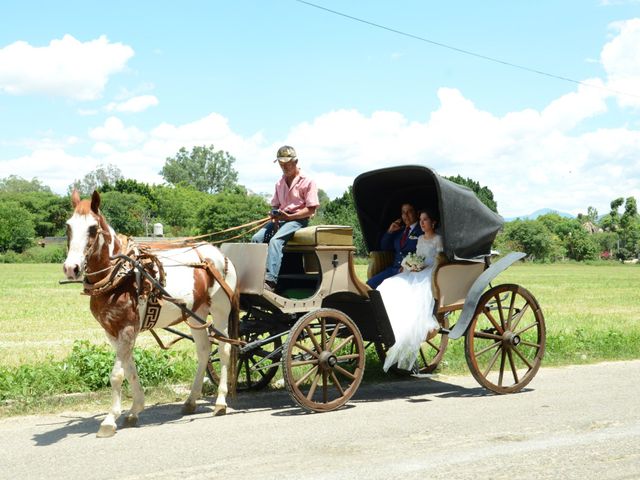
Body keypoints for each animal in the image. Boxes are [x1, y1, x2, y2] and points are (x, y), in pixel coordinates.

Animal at [63, 189, 238, 436]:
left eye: (93, 228)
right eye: (68, 227)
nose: (71, 268)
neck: (119, 275)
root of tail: (218, 253)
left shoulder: (127, 328)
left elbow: (117, 375)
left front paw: (109, 420)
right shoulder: (112, 331)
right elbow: (129, 368)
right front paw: (135, 409)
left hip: (221, 311)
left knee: (224, 349)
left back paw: (221, 402)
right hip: (197, 314)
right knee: (204, 351)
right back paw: (191, 400)